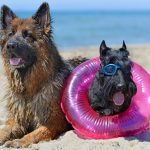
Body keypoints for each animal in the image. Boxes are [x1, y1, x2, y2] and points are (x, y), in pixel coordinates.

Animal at [0, 2, 84, 148]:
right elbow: (3, 130)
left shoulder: (53, 123)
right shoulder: (15, 120)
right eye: (10, 34)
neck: (28, 91)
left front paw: (20, 141)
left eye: (27, 35)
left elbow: (34, 134)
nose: (10, 46)